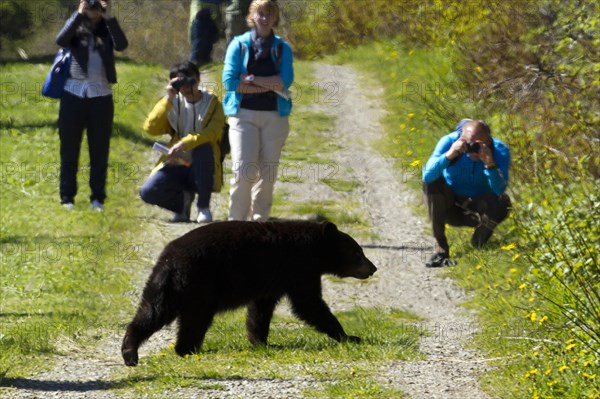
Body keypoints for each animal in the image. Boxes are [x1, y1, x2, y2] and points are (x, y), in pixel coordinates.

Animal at [120, 220, 376, 368]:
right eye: (358, 252)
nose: (373, 267)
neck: (314, 247)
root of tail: (169, 259)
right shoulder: (298, 266)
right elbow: (309, 303)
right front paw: (349, 336)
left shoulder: (273, 281)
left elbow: (260, 310)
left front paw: (260, 341)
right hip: (200, 283)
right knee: (190, 318)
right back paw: (179, 349)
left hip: (167, 286)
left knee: (153, 311)